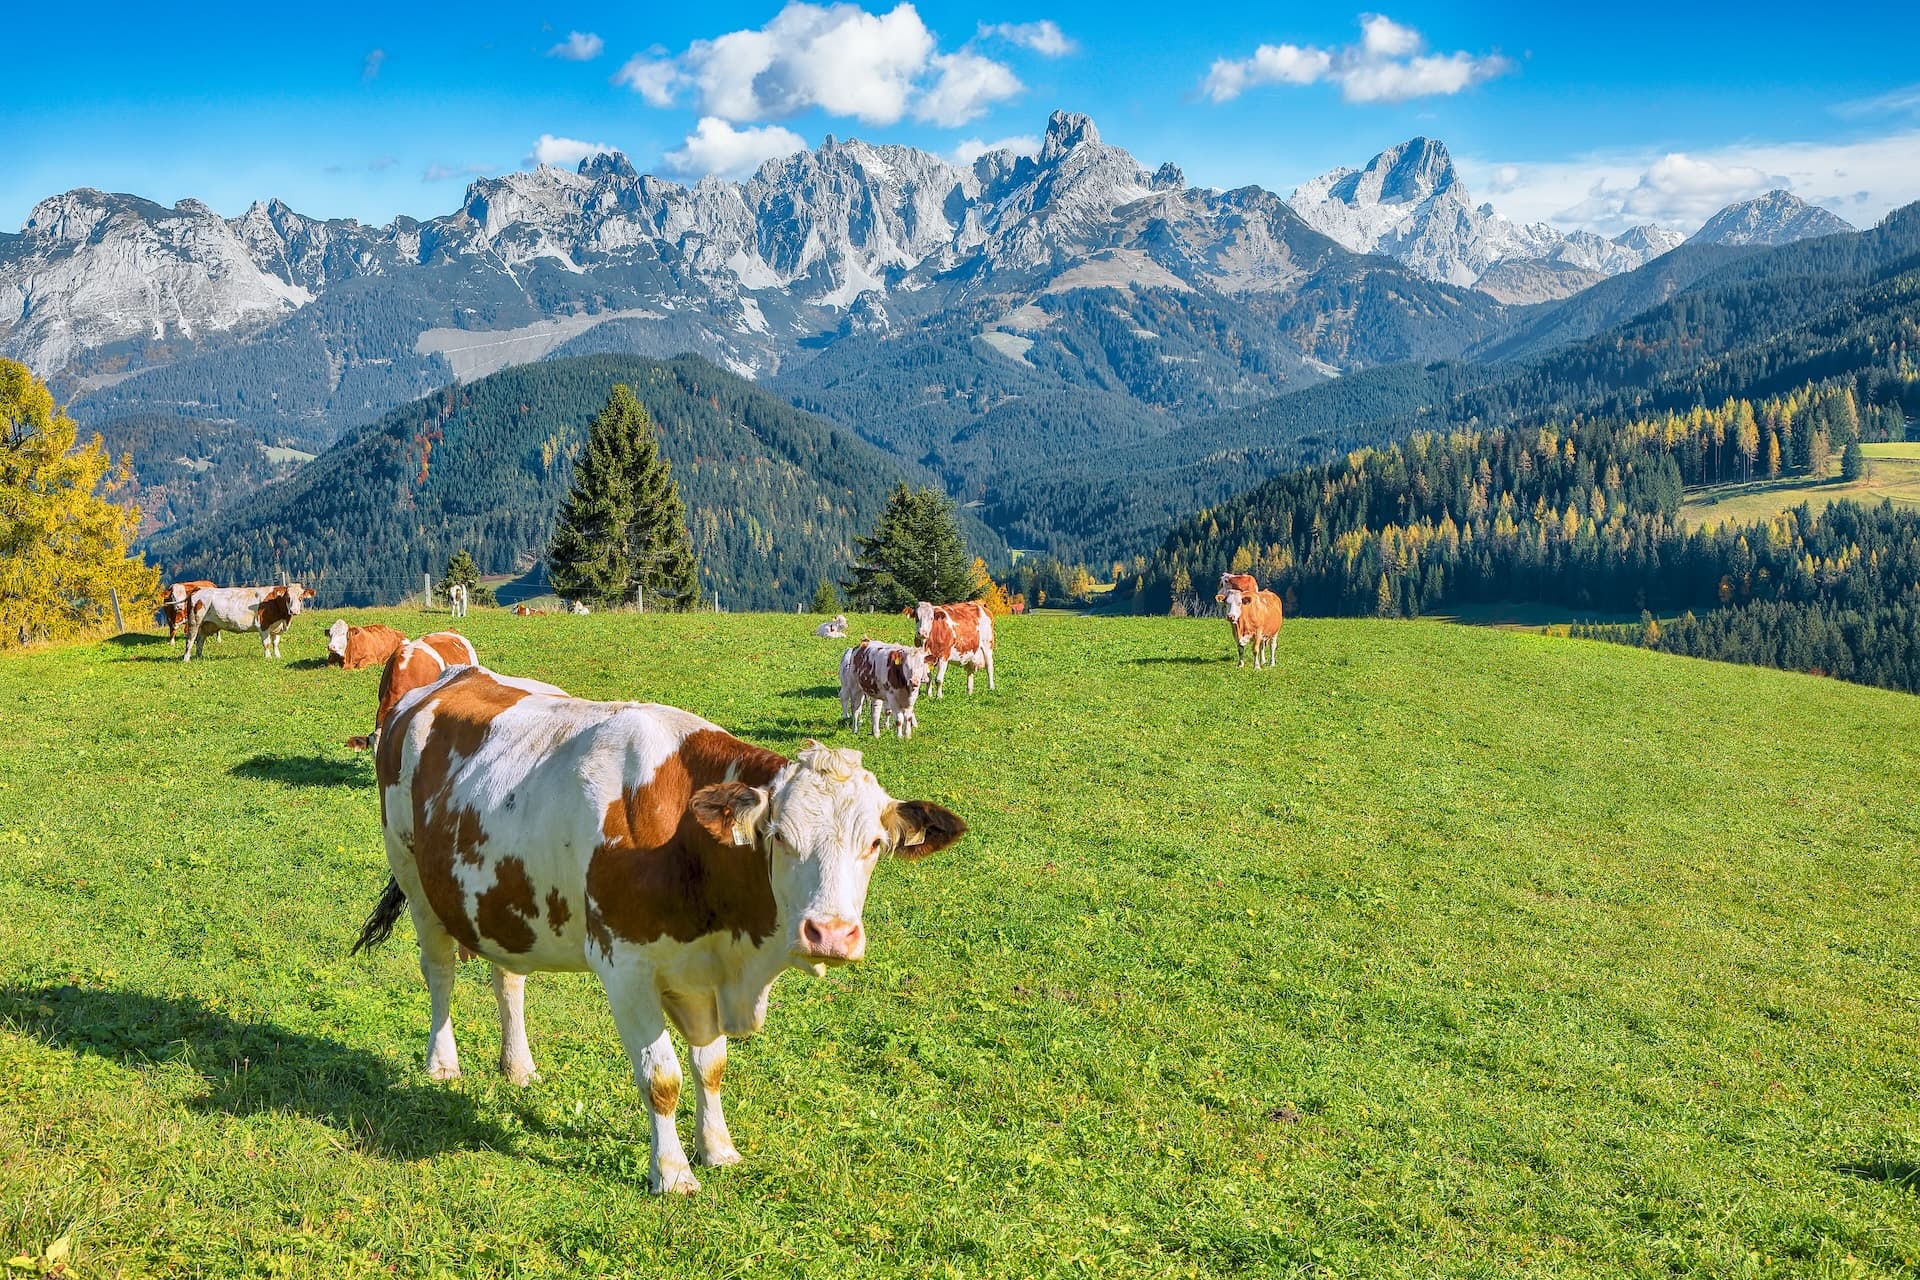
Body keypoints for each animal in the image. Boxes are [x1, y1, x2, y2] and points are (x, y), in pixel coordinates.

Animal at [181, 584, 314, 661]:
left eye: (301, 598)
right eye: (287, 597)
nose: (294, 611)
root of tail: (198, 589)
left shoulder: (276, 628)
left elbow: (275, 643)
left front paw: (277, 656)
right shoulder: (263, 625)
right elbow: (267, 644)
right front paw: (268, 657)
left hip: (206, 625)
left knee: (200, 641)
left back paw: (199, 657)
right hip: (194, 621)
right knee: (190, 640)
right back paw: (186, 659)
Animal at [352, 666, 967, 1194]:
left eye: (875, 844)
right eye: (781, 838)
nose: (832, 935)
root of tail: (445, 681)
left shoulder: (700, 971)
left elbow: (710, 1066)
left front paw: (718, 1148)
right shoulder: (625, 969)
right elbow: (662, 1078)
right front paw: (672, 1172)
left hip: (504, 899)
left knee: (509, 979)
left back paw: (518, 1066)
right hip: (414, 876)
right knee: (439, 972)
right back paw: (442, 1064)